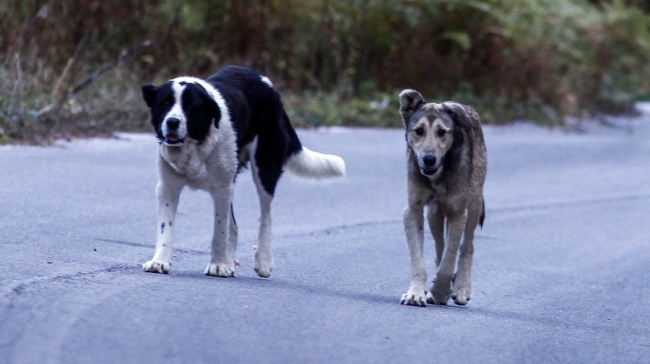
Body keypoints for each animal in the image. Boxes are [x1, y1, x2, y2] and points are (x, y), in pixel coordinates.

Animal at [140, 65, 344, 278]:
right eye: (164, 103)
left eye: (190, 106)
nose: (172, 122)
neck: (196, 142)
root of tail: (268, 85)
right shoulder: (168, 188)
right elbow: (166, 228)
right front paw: (160, 261)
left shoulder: (222, 189)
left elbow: (219, 231)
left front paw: (219, 265)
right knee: (235, 226)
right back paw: (231, 262)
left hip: (264, 168)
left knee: (265, 215)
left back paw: (263, 261)